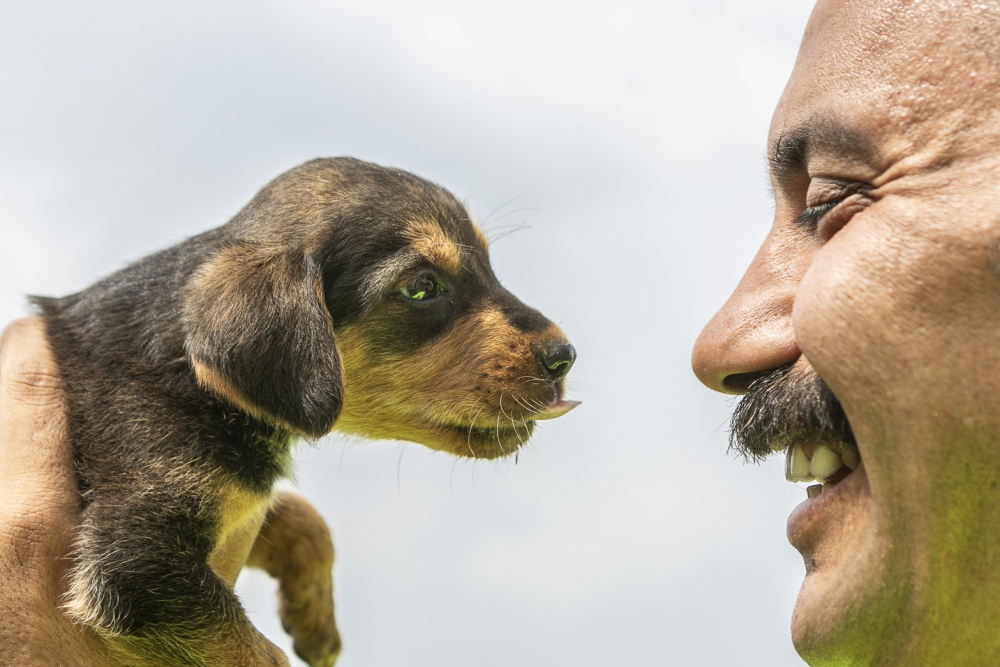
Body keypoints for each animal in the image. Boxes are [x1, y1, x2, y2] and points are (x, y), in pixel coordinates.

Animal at [35, 158, 580, 667]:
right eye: (422, 287)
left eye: (490, 267)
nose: (565, 357)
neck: (188, 369)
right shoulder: (138, 563)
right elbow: (257, 652)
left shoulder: (240, 506)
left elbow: (305, 518)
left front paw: (315, 619)